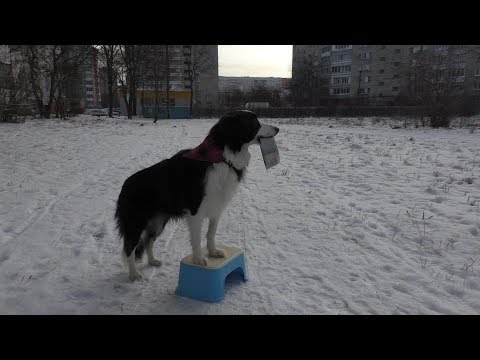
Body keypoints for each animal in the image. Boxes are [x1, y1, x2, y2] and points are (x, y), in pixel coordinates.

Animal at [115, 110, 280, 282]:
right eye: (255, 123)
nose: (277, 129)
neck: (223, 157)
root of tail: (125, 186)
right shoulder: (196, 212)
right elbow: (196, 238)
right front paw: (198, 259)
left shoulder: (216, 207)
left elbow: (211, 232)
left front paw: (213, 252)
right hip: (135, 223)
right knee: (129, 247)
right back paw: (133, 274)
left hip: (158, 222)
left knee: (148, 241)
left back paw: (153, 261)